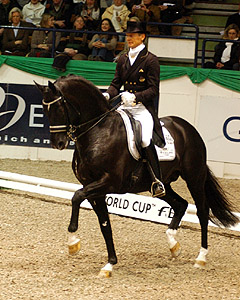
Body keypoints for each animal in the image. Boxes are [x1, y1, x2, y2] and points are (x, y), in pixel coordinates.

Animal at [35, 76, 238, 278]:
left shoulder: (109, 183)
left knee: (202, 211)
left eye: (59, 107)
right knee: (181, 204)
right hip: (161, 184)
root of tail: (187, 127)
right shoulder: (93, 188)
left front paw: (73, 243)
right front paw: (109, 264)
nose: (58, 143)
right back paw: (174, 245)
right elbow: (104, 224)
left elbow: (76, 197)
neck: (98, 131)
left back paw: (201, 257)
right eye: (44, 110)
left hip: (194, 177)